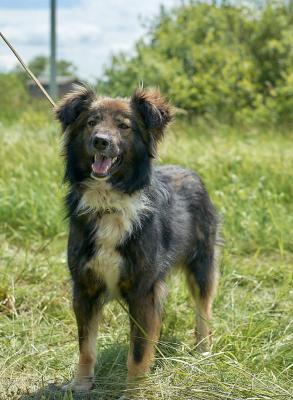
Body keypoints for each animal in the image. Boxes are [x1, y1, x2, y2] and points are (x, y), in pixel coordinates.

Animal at [54, 83, 218, 392]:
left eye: (123, 126)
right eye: (91, 122)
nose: (100, 141)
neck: (109, 202)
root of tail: (191, 172)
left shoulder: (144, 290)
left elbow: (139, 351)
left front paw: (135, 391)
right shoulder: (85, 287)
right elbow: (86, 346)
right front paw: (81, 384)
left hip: (202, 263)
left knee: (203, 308)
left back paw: (203, 350)